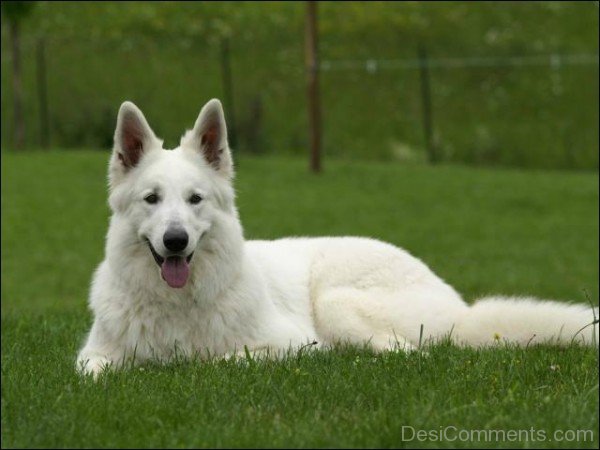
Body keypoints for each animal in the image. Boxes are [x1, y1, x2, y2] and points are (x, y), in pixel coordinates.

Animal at [77, 99, 596, 376]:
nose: (176, 240)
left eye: (195, 199)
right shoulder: (91, 357)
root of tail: (460, 304)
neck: (177, 309)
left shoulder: (283, 344)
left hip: (336, 303)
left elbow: (217, 360)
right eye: (152, 199)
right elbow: (95, 371)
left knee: (413, 351)